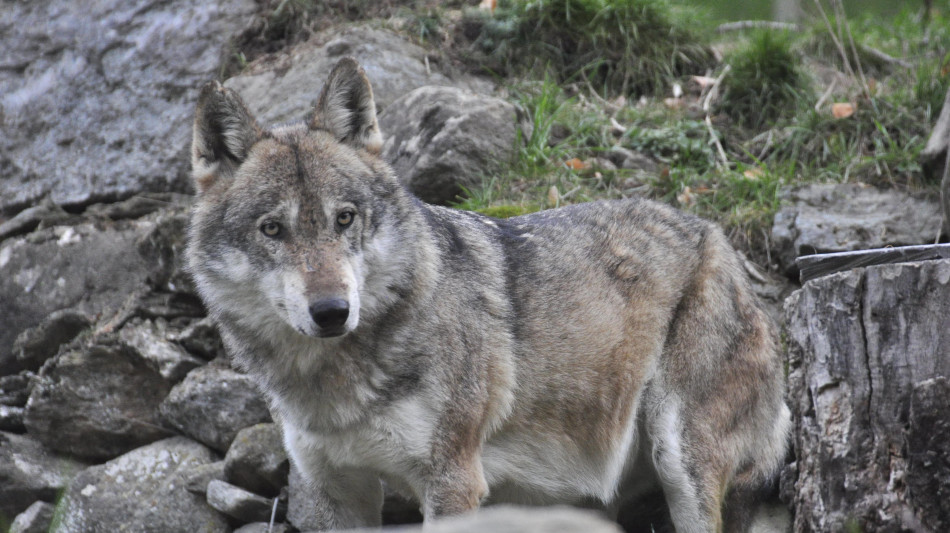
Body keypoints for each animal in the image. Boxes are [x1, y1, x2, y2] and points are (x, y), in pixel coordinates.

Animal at [186, 57, 790, 532]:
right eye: (272, 230)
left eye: (345, 218)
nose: (333, 312)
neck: (336, 382)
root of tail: (719, 239)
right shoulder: (334, 490)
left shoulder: (453, 481)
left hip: (679, 460)